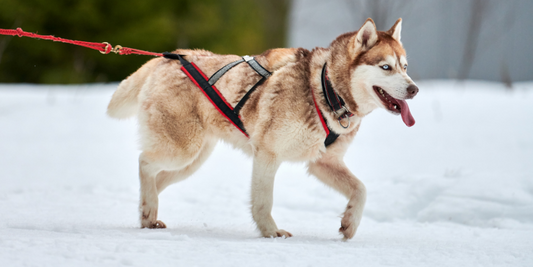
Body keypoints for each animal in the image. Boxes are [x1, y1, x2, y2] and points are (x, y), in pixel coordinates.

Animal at [107, 18, 416, 241]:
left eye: (405, 66)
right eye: (386, 67)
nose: (414, 89)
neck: (326, 90)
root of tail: (168, 57)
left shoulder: (323, 162)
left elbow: (361, 190)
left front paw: (349, 223)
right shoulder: (267, 154)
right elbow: (263, 201)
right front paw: (271, 232)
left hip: (192, 161)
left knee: (156, 179)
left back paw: (148, 213)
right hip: (182, 150)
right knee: (144, 162)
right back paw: (148, 209)